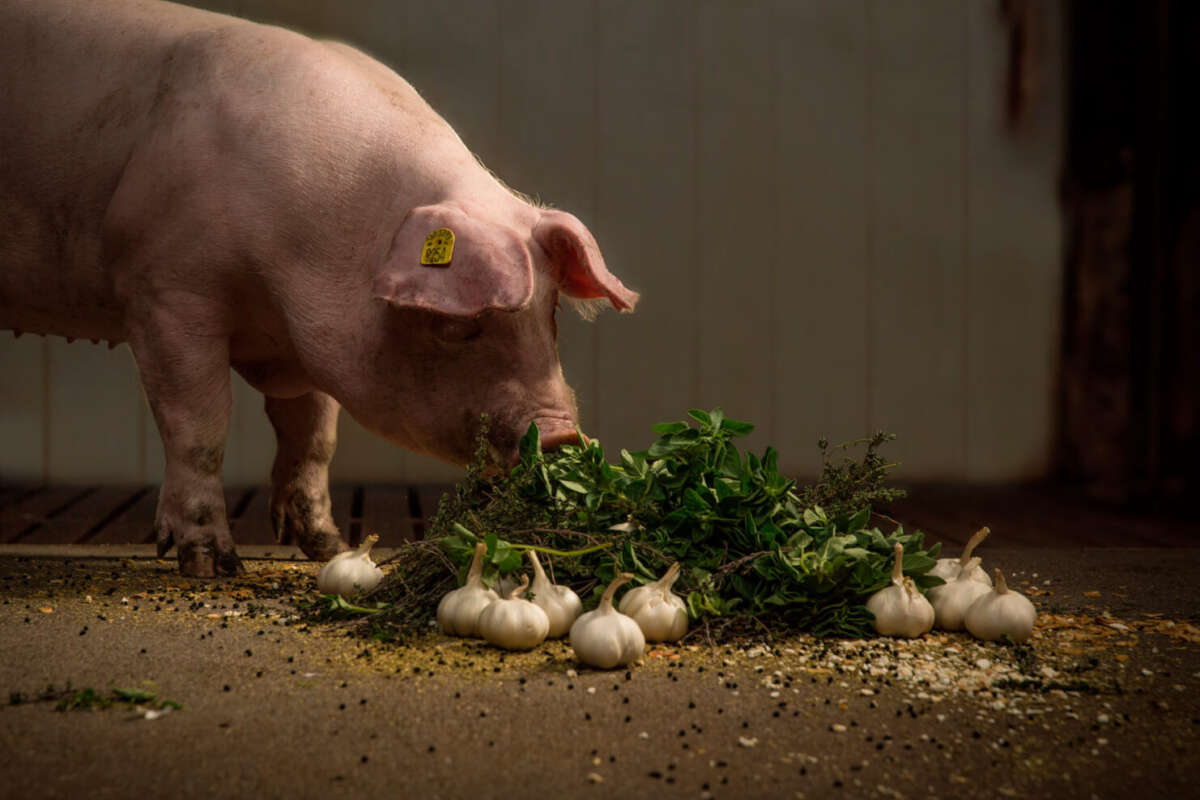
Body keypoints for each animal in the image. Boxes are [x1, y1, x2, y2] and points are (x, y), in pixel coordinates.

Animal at [0, 0, 638, 575]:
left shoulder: (308, 339)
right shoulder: (165, 291)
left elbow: (313, 437)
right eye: (455, 323)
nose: (559, 434)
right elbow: (199, 425)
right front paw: (210, 564)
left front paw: (331, 550)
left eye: (551, 311)